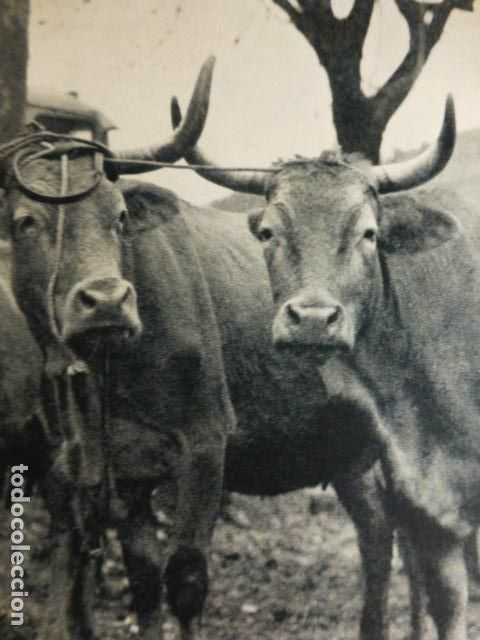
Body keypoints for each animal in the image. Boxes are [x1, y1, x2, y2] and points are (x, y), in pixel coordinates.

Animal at [0, 61, 409, 640]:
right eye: (25, 221)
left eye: (118, 215)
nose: (106, 301)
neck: (111, 375)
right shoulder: (118, 473)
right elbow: (144, 580)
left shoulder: (204, 444)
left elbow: (186, 580)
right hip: (350, 452)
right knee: (381, 535)